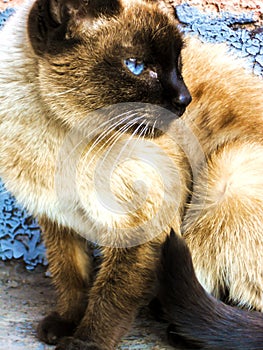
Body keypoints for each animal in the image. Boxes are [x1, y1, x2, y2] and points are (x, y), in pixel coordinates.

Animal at [0, 0, 263, 348]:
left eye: (177, 63)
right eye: (136, 66)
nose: (184, 100)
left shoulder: (141, 226)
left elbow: (111, 298)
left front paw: (85, 342)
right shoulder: (57, 220)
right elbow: (71, 278)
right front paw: (65, 324)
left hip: (229, 173)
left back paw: (182, 329)